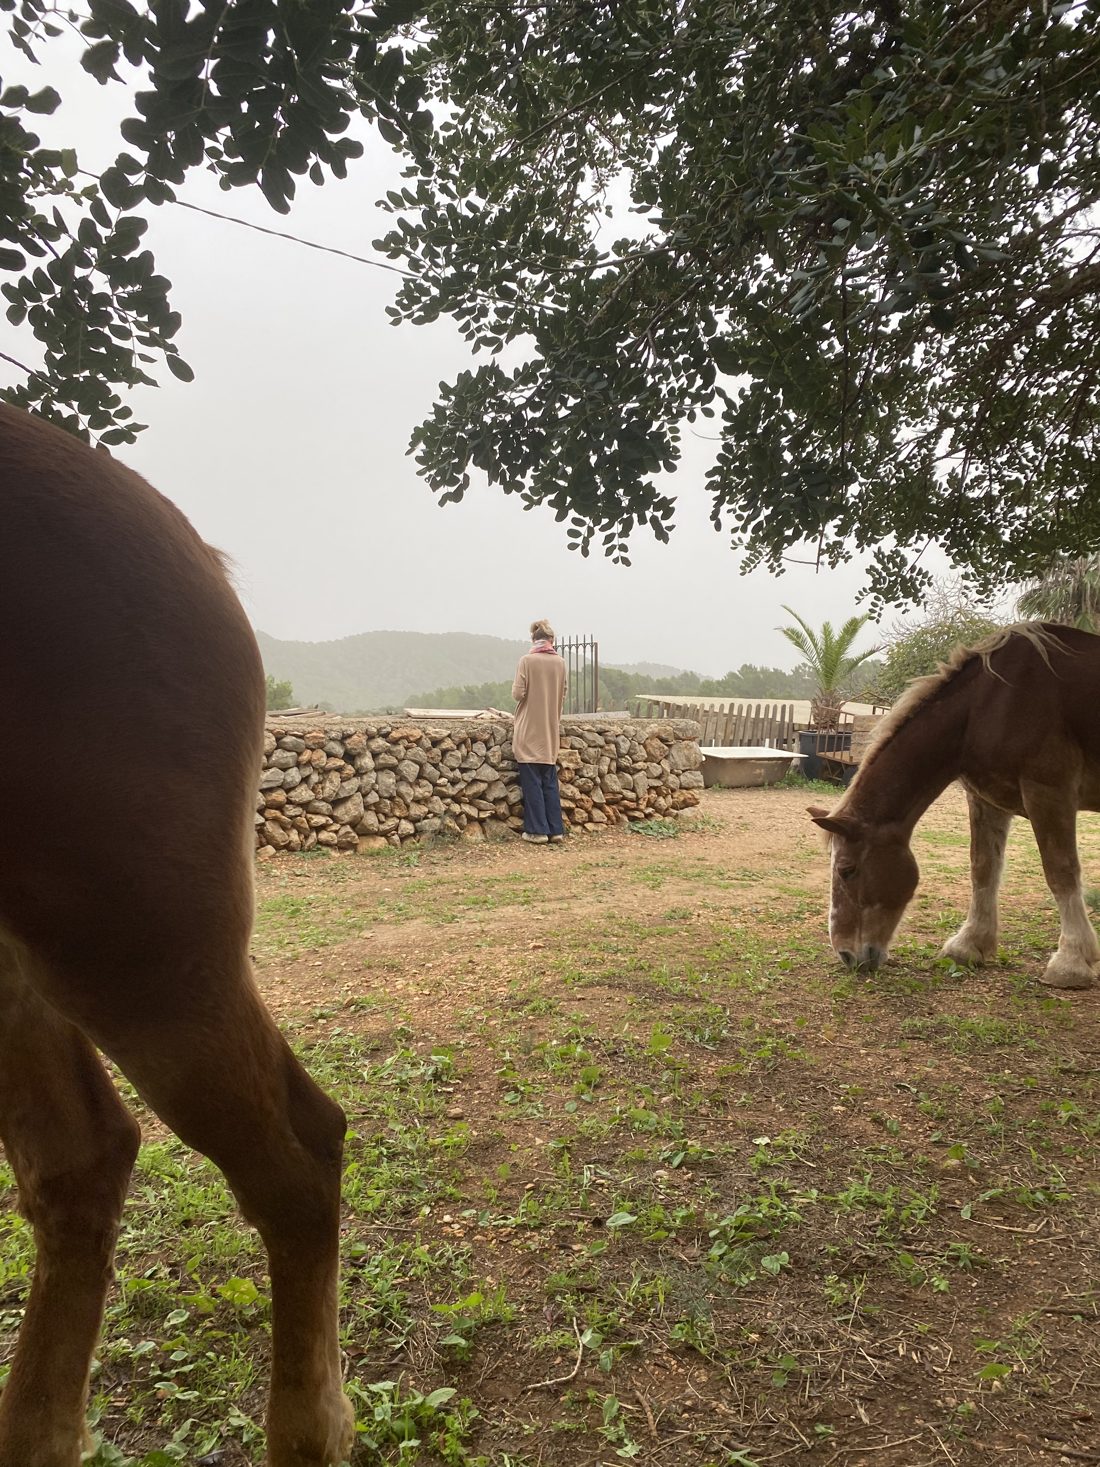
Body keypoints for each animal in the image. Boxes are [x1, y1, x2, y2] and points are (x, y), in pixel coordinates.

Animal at [809, 623, 1100, 991]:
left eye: (846, 870)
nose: (846, 955)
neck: (990, 703)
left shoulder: (1048, 791)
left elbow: (1060, 871)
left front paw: (1071, 961)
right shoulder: (985, 798)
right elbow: (983, 868)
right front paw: (969, 945)